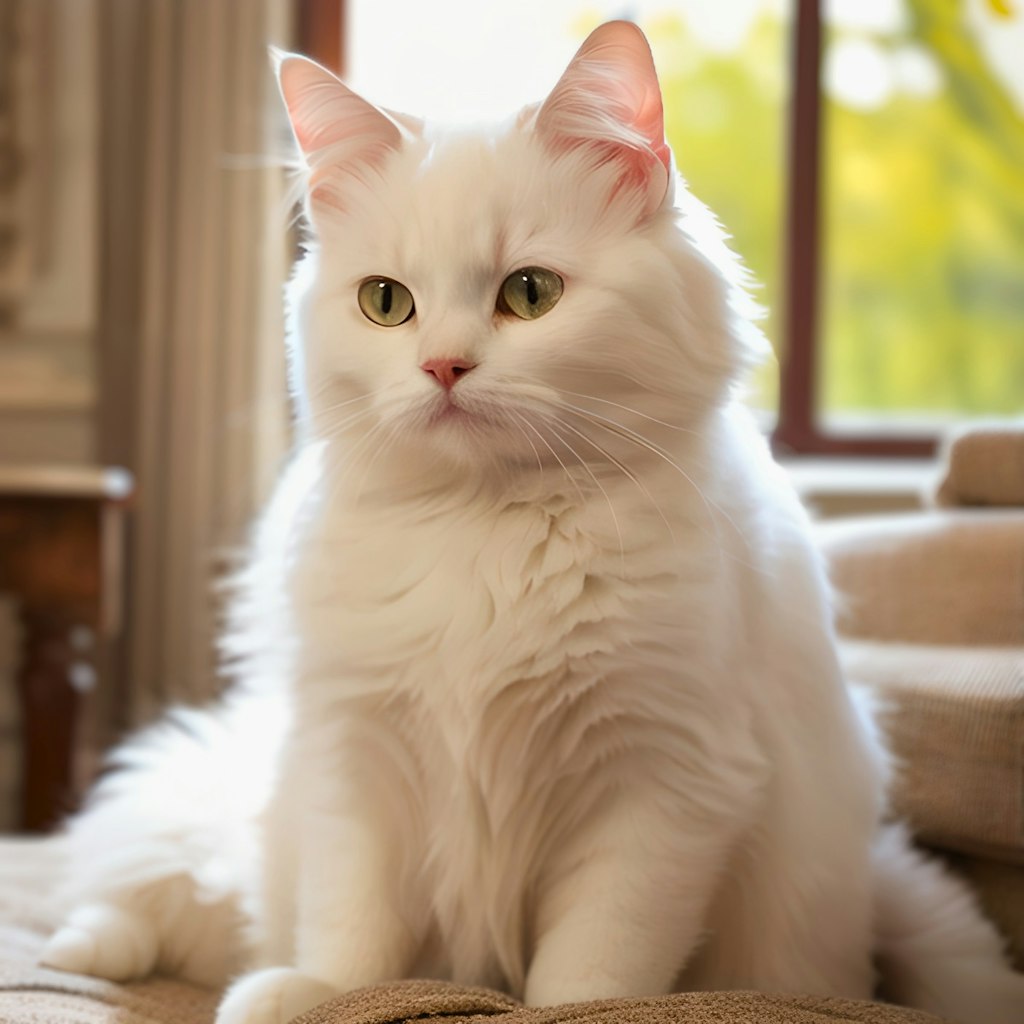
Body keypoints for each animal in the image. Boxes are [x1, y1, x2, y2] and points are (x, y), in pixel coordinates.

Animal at [39, 22, 1024, 1024]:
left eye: (531, 292)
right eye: (385, 303)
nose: (442, 367)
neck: (490, 527)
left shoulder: (666, 783)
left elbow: (592, 967)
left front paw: (561, 1008)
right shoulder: (354, 752)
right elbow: (353, 917)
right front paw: (332, 995)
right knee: (182, 899)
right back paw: (117, 956)